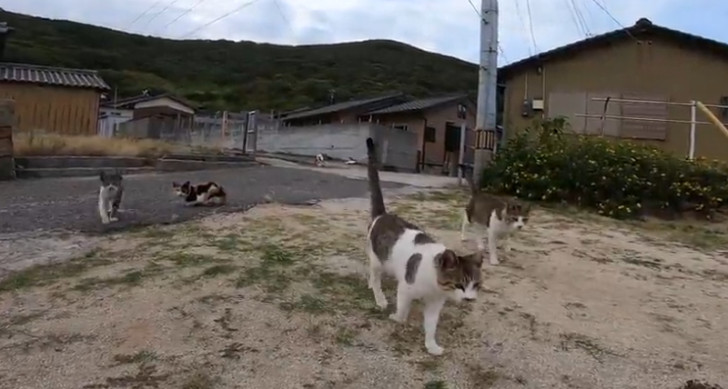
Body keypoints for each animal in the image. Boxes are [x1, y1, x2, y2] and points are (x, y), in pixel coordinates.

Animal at [364, 136, 484, 354]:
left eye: (476, 285)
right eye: (460, 284)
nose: (469, 299)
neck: (435, 285)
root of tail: (382, 215)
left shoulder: (435, 303)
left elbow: (431, 325)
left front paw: (431, 345)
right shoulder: (406, 288)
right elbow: (402, 308)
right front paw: (397, 318)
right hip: (378, 259)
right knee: (376, 278)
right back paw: (380, 298)